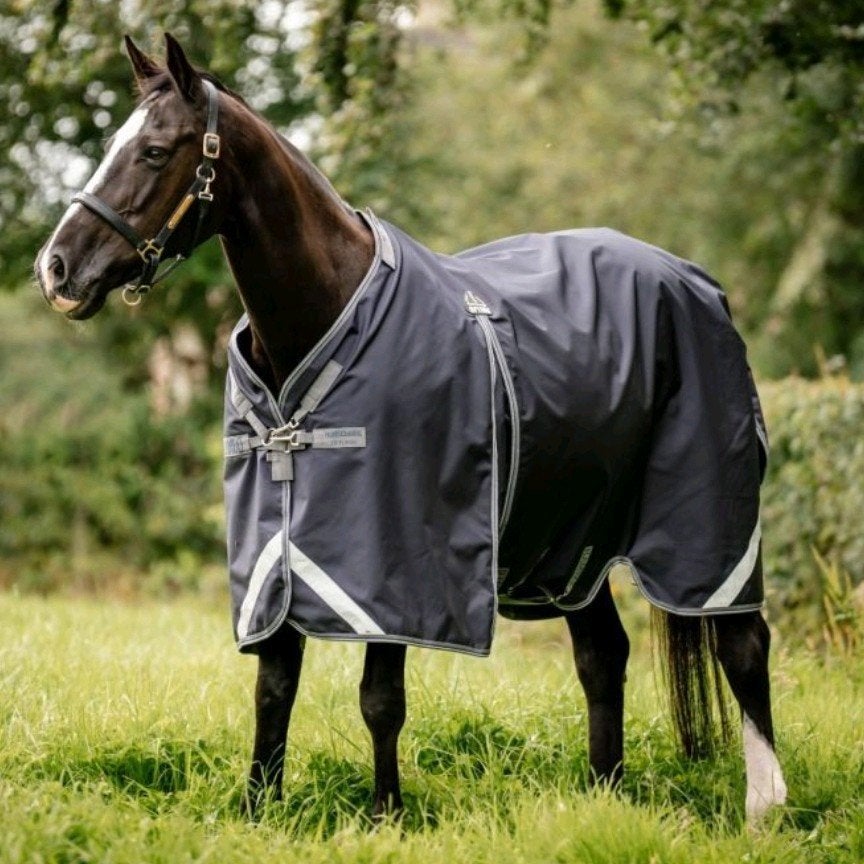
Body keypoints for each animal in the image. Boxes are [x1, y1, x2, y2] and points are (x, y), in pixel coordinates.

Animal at [34, 34, 787, 824]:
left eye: (153, 151)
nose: (57, 269)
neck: (327, 313)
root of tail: (699, 283)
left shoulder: (395, 562)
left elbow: (380, 699)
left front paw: (385, 815)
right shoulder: (277, 550)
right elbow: (274, 688)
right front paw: (257, 811)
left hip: (708, 521)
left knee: (743, 641)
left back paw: (765, 808)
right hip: (574, 542)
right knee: (603, 655)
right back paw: (605, 794)